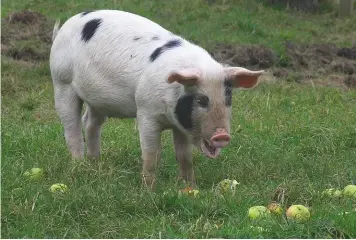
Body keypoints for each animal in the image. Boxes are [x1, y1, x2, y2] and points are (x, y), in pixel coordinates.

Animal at [48, 8, 262, 189]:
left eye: (228, 99)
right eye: (201, 100)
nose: (222, 135)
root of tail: (66, 25)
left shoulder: (180, 126)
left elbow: (184, 156)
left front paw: (190, 187)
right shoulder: (146, 112)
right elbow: (153, 154)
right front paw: (149, 190)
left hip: (98, 99)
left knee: (90, 123)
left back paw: (95, 164)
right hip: (61, 81)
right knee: (72, 129)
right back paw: (79, 166)